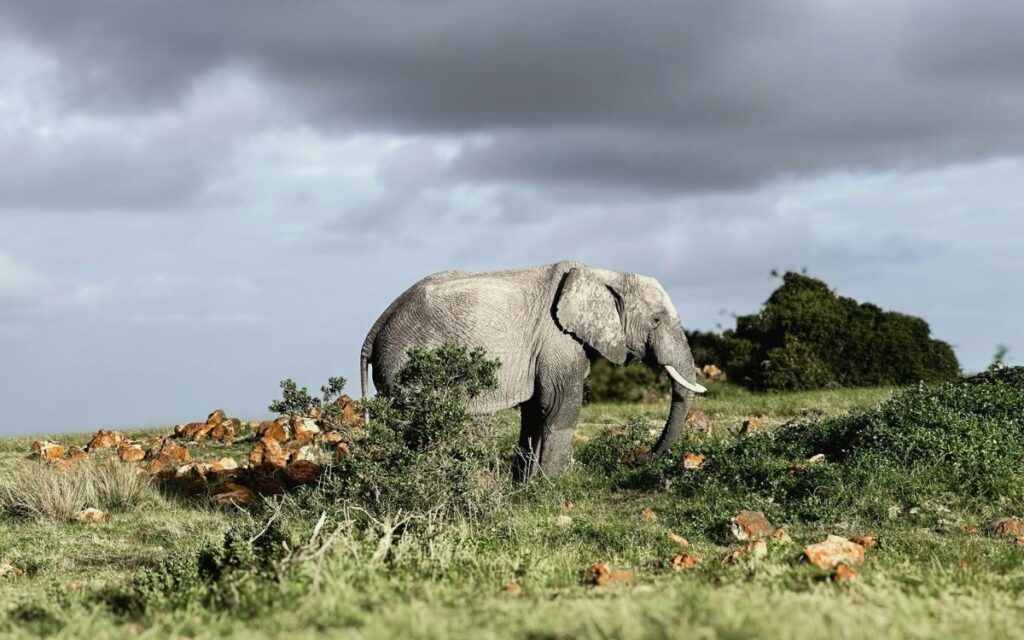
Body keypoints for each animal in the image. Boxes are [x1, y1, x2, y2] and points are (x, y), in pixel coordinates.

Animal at [359, 260, 706, 479]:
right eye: (656, 320)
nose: (636, 459)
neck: (605, 274)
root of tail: (376, 327)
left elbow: (536, 411)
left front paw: (525, 487)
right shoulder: (557, 338)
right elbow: (561, 406)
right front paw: (550, 488)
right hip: (406, 363)